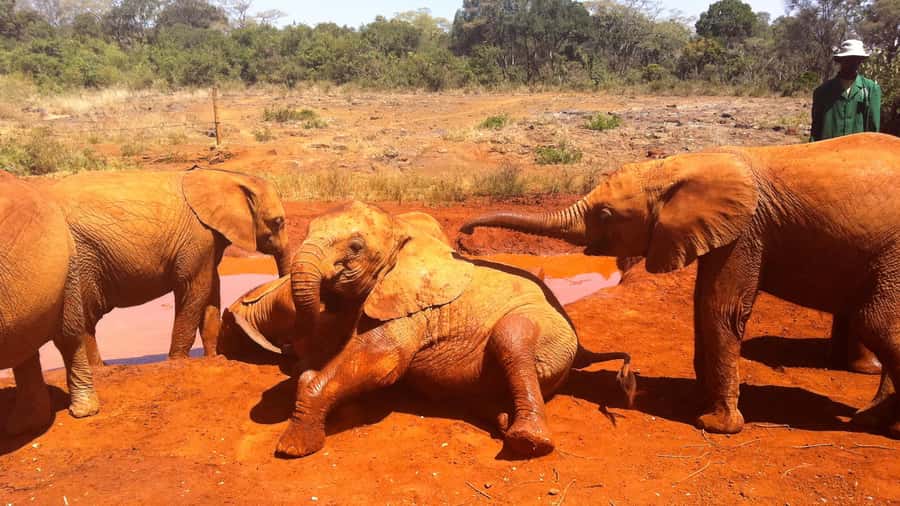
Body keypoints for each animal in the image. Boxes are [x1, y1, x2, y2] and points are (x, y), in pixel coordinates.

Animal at [49, 166, 291, 365]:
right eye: (278, 222)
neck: (225, 176)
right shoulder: (198, 236)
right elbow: (196, 289)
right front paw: (178, 361)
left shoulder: (209, 240)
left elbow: (212, 291)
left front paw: (214, 358)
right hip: (79, 256)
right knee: (85, 316)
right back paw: (100, 368)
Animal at [275, 202, 635, 458]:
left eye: (355, 247)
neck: (402, 230)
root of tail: (582, 349)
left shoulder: (420, 308)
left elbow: (385, 360)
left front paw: (293, 447)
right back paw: (501, 416)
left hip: (548, 331)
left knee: (512, 337)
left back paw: (527, 441)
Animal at [459, 132, 900, 438]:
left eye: (605, 215)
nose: (464, 236)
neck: (683, 165)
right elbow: (703, 302)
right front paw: (697, 400)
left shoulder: (747, 229)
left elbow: (720, 307)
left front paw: (714, 424)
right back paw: (874, 419)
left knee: (876, 322)